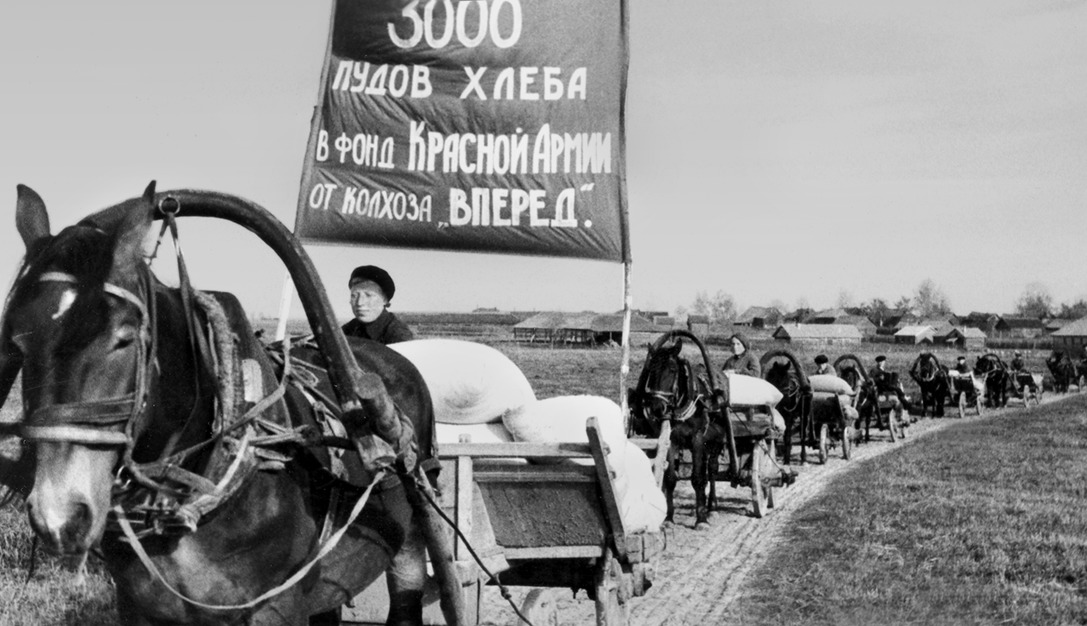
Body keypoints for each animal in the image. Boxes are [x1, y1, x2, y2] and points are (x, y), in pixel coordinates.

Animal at [0, 183, 442, 625]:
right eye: (19, 342)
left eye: (123, 338)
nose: (59, 517)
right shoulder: (137, 607)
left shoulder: (276, 608)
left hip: (410, 540)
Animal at [629, 331, 728, 529]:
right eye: (650, 370)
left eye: (673, 370)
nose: (657, 407)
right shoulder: (671, 440)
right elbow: (670, 478)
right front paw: (668, 517)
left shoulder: (698, 439)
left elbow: (697, 478)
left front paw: (701, 519)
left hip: (715, 442)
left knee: (712, 471)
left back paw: (712, 508)